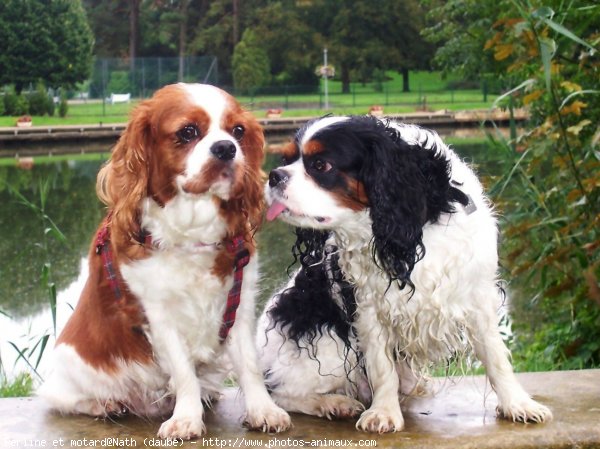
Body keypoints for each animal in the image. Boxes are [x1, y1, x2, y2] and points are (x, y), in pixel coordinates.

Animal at [39, 83, 290, 438]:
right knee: (63, 398)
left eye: (238, 131)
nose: (226, 148)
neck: (192, 232)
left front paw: (263, 410)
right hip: (67, 370)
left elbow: (249, 366)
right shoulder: (159, 317)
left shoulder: (238, 305)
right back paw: (105, 404)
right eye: (188, 132)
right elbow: (184, 373)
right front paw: (187, 418)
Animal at [255, 114, 552, 430]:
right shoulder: (368, 308)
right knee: (280, 393)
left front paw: (517, 404)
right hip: (328, 344)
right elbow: (381, 366)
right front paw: (384, 412)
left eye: (321, 165)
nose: (274, 175)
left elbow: (496, 357)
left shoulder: (477, 296)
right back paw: (331, 402)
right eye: (286, 159)